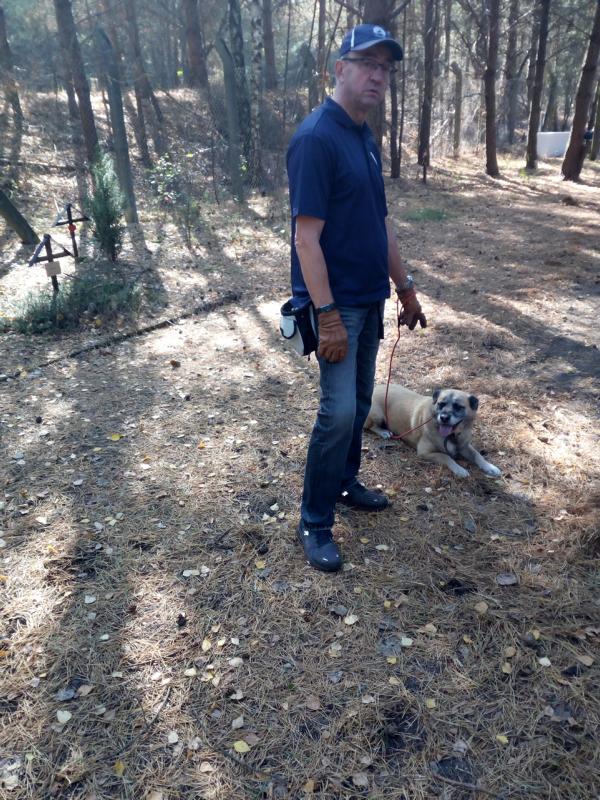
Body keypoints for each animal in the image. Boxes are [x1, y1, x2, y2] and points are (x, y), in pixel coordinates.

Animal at [364, 384, 501, 479]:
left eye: (458, 407)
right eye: (441, 404)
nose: (444, 417)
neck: (451, 435)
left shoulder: (464, 446)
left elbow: (477, 455)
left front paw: (490, 467)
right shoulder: (424, 453)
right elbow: (446, 456)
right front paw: (459, 469)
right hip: (377, 415)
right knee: (372, 427)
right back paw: (384, 432)